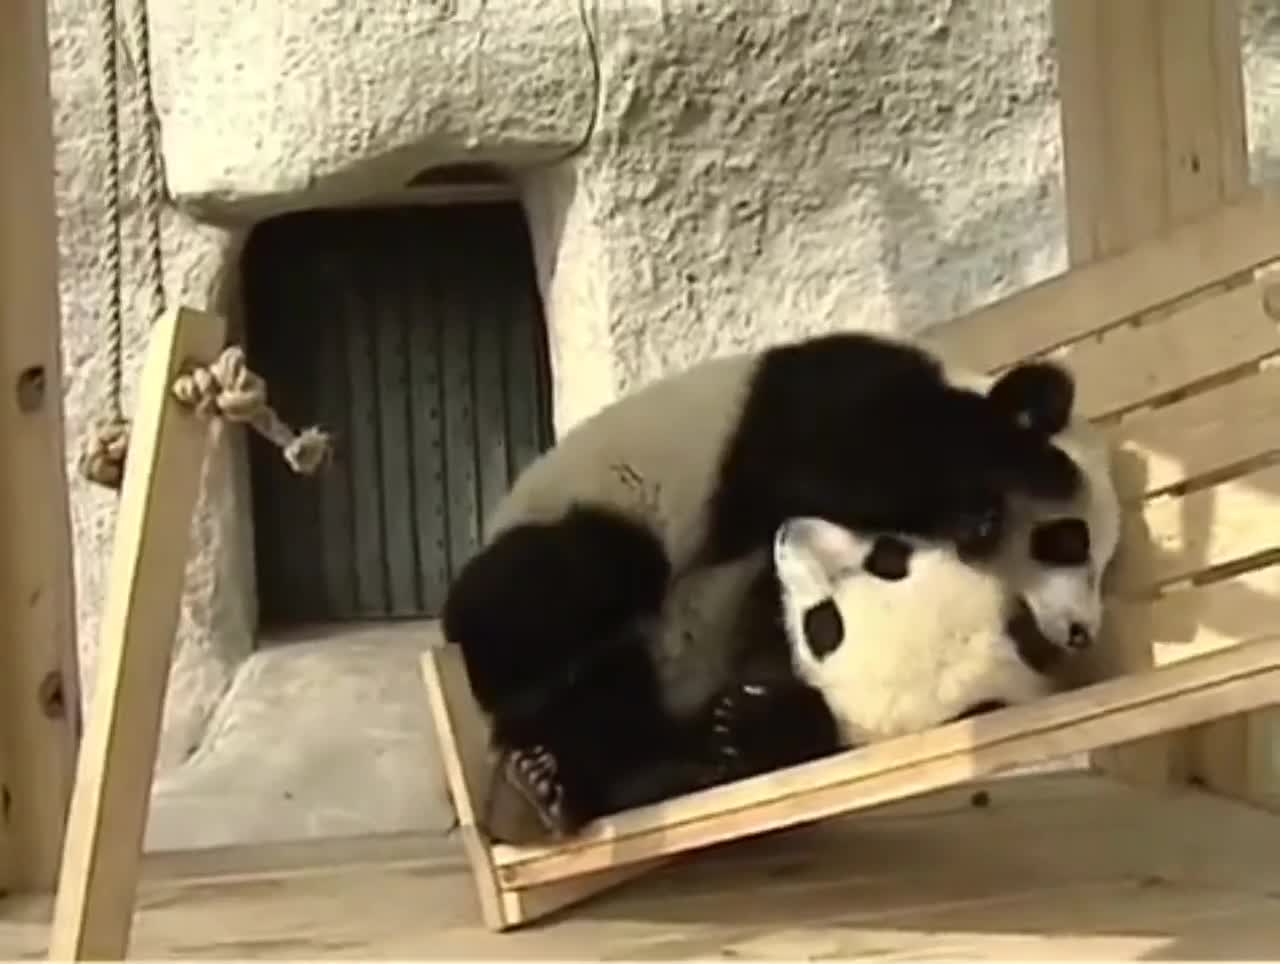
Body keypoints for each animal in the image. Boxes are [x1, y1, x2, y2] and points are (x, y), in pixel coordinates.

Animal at [440, 330, 1080, 834]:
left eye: (824, 630)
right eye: (889, 556)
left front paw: (744, 728)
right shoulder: (814, 404)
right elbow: (857, 454)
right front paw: (985, 500)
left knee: (605, 706)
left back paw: (556, 780)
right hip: (586, 515)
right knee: (560, 582)